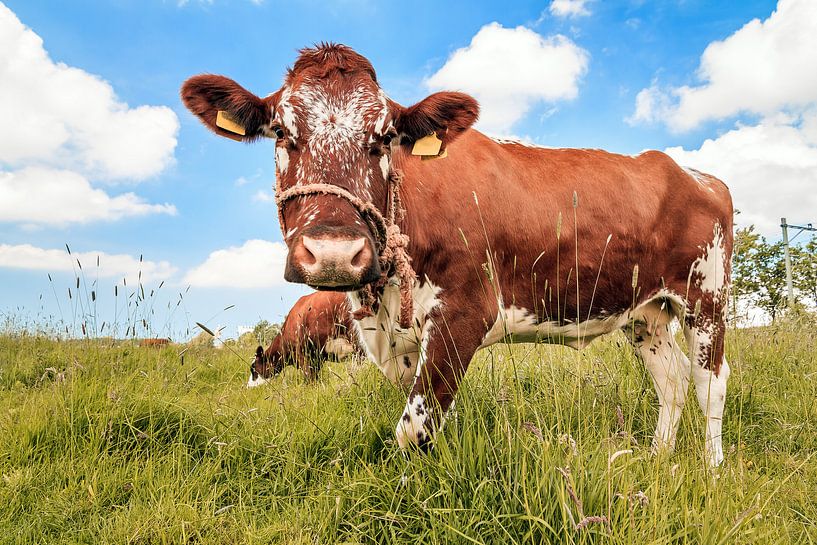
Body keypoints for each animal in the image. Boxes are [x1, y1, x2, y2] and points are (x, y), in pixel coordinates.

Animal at [183, 44, 732, 466]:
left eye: (385, 136)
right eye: (281, 131)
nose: (334, 252)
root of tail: (694, 173)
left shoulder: (464, 312)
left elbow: (413, 428)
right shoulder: (395, 341)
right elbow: (418, 417)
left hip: (706, 300)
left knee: (709, 382)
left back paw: (711, 468)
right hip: (646, 314)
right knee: (672, 382)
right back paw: (658, 457)